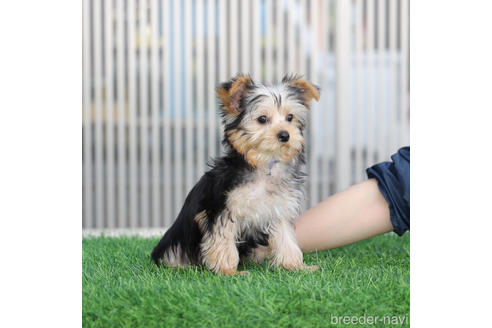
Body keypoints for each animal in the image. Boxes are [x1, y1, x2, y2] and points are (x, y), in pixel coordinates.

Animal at [151, 73, 320, 274]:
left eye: (290, 117)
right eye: (262, 119)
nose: (285, 135)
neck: (265, 164)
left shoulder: (280, 208)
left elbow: (286, 237)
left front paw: (295, 266)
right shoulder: (222, 208)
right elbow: (223, 239)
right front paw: (228, 271)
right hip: (176, 244)